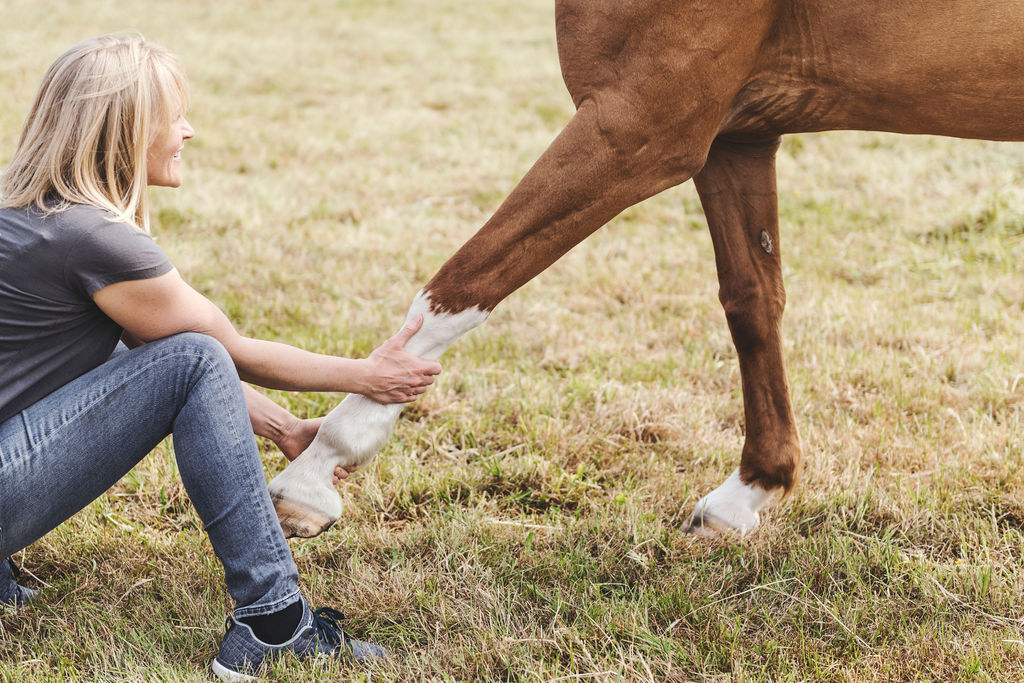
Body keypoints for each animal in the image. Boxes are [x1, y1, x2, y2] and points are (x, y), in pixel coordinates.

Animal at [268, 0, 1024, 538]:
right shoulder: (734, 138)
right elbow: (753, 303)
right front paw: (749, 492)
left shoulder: (638, 128)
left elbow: (463, 284)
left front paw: (313, 474)